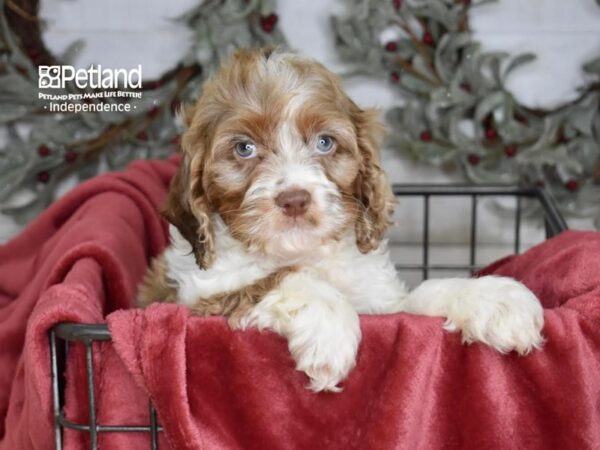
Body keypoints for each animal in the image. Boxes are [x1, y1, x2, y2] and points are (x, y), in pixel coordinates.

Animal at [138, 49, 548, 392]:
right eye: (244, 148)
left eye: (324, 142)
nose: (294, 199)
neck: (303, 250)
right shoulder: (193, 301)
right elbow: (277, 279)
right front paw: (330, 328)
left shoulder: (382, 305)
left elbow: (417, 297)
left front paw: (492, 298)